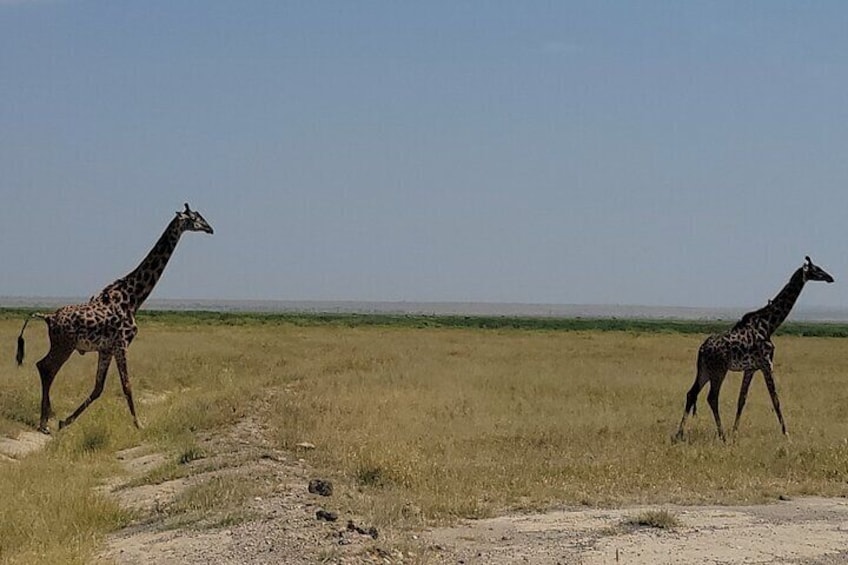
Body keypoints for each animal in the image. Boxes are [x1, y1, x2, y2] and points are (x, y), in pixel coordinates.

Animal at [16, 203, 214, 432]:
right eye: (195, 218)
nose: (210, 228)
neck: (133, 298)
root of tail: (48, 317)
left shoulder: (106, 348)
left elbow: (98, 387)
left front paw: (65, 421)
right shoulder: (122, 343)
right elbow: (127, 385)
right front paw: (139, 424)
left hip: (63, 345)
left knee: (44, 367)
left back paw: (49, 417)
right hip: (64, 345)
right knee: (46, 367)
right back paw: (43, 422)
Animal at [676, 256, 836, 440]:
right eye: (817, 269)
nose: (830, 277)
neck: (769, 325)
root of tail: (702, 349)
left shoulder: (751, 368)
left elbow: (742, 399)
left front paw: (735, 431)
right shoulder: (766, 364)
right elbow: (775, 399)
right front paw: (786, 434)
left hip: (704, 370)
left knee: (691, 393)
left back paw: (679, 434)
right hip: (718, 370)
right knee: (712, 397)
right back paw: (721, 435)